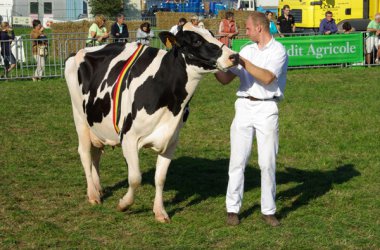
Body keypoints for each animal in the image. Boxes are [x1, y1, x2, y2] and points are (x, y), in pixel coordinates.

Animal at [65, 23, 238, 223]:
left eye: (211, 33)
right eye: (196, 41)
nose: (234, 56)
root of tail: (80, 51)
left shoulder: (171, 140)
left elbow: (160, 178)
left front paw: (160, 211)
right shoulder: (129, 137)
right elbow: (135, 178)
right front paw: (124, 204)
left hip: (97, 124)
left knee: (96, 154)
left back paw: (98, 188)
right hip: (79, 117)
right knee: (85, 153)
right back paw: (92, 194)